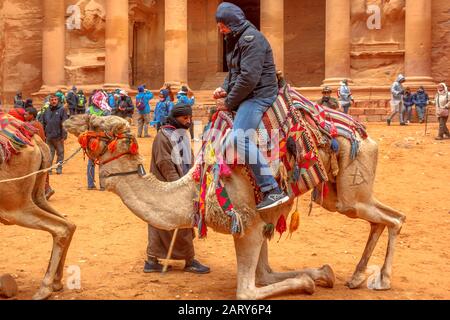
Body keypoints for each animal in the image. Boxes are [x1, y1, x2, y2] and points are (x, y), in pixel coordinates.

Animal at [0, 116, 75, 302]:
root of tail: (37, 142)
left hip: (14, 207)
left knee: (61, 228)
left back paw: (44, 289)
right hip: (36, 196)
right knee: (70, 224)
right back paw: (57, 282)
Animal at [65, 111, 406, 298]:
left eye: (99, 126)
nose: (71, 118)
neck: (192, 192)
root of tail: (368, 137)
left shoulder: (247, 225)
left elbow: (249, 289)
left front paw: (309, 281)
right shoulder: (261, 223)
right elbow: (265, 274)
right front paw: (321, 273)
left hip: (352, 185)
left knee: (394, 219)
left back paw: (383, 279)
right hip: (338, 196)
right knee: (381, 218)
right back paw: (357, 277)